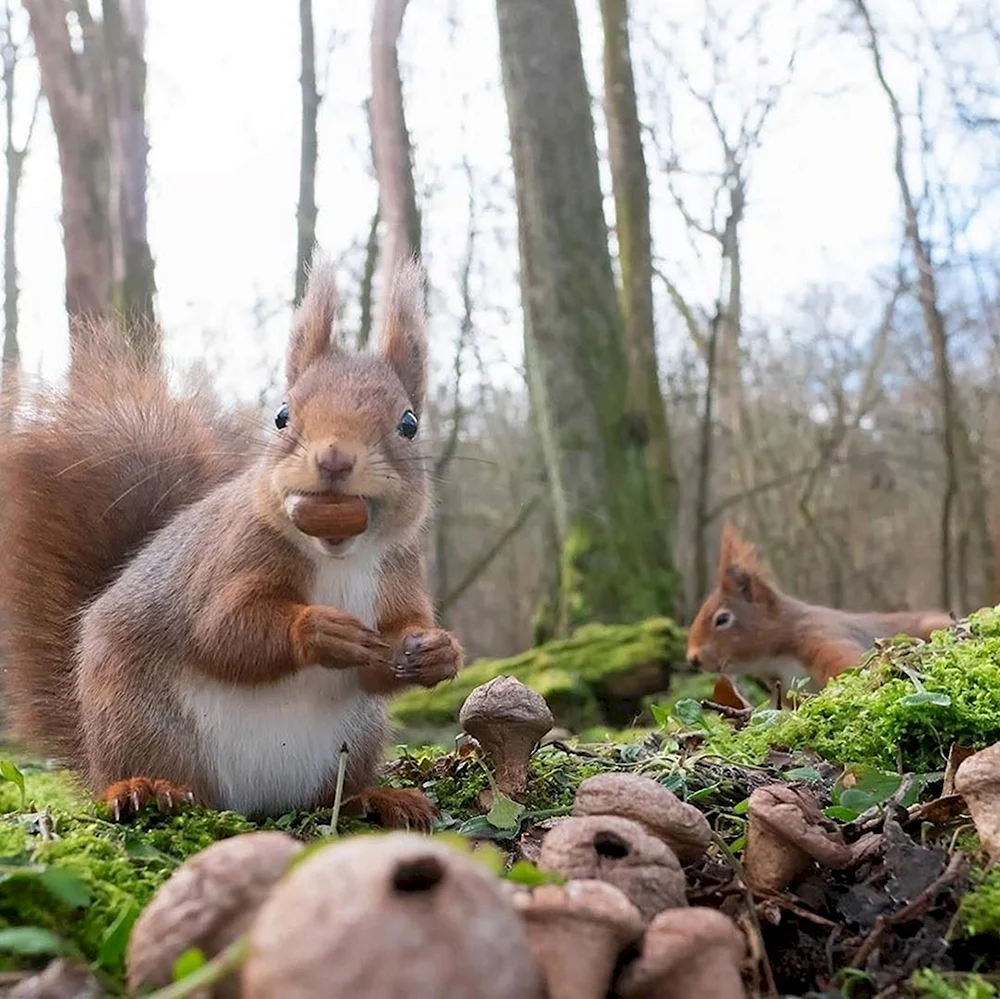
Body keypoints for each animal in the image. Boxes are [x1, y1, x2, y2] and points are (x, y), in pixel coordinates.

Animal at [0, 258, 460, 828]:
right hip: (137, 719)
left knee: (329, 794)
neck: (338, 554)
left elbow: (386, 657)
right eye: (282, 416)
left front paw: (438, 651)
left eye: (409, 423)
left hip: (357, 737)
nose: (334, 459)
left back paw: (377, 799)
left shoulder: (399, 570)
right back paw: (142, 789)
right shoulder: (229, 557)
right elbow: (221, 630)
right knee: (142, 772)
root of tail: (250, 804)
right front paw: (320, 630)